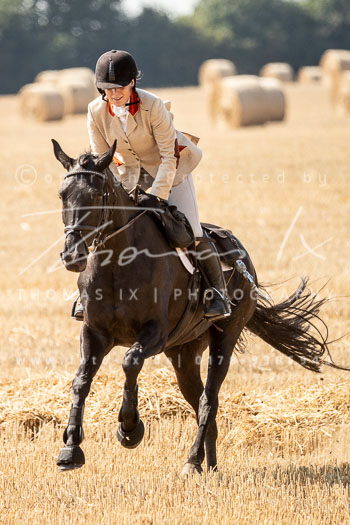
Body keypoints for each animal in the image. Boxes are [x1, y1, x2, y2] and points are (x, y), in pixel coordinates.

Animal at [52, 139, 344, 474]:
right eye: (62, 195)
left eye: (97, 195)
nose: (72, 255)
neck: (117, 262)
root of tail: (245, 259)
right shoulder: (94, 332)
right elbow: (81, 380)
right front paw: (70, 449)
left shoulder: (155, 333)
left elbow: (130, 362)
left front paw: (129, 428)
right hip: (184, 351)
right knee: (197, 399)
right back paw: (210, 464)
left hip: (223, 338)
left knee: (208, 399)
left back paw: (193, 461)